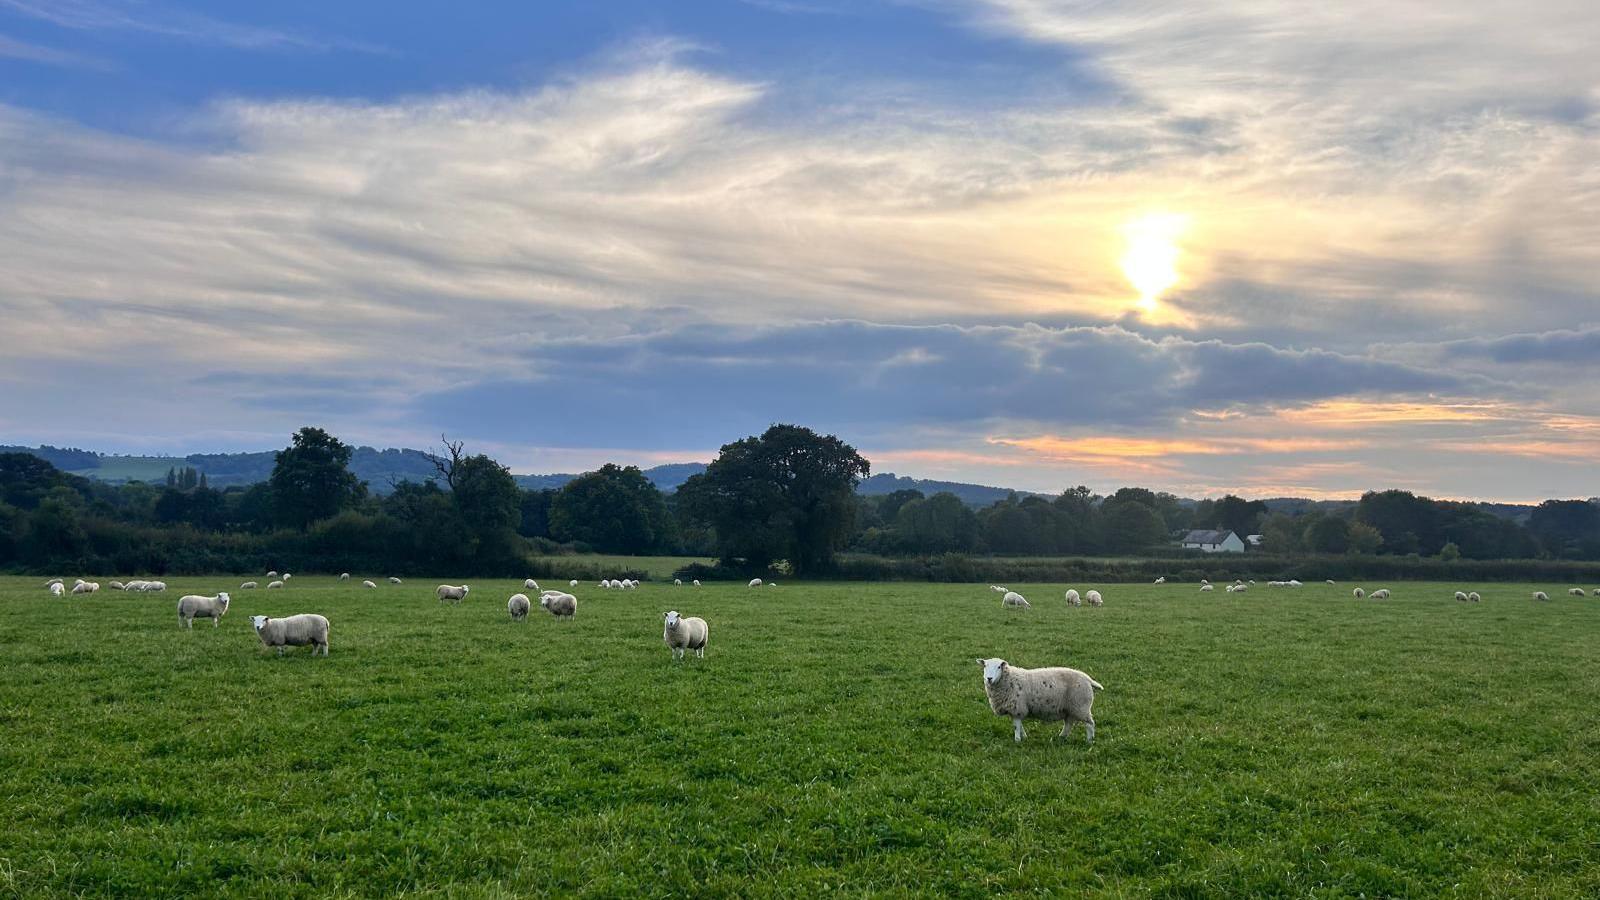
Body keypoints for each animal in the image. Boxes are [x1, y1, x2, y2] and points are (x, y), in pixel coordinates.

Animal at [972, 656, 1100, 739]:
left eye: (999, 667)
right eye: (985, 666)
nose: (989, 678)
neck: (1009, 679)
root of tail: (1088, 679)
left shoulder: (1017, 707)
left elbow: (1016, 726)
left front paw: (1017, 740)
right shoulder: (1016, 709)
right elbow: (1020, 725)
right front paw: (1024, 737)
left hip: (1081, 705)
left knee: (1090, 724)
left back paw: (1089, 741)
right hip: (1070, 707)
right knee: (1069, 723)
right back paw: (1061, 737)